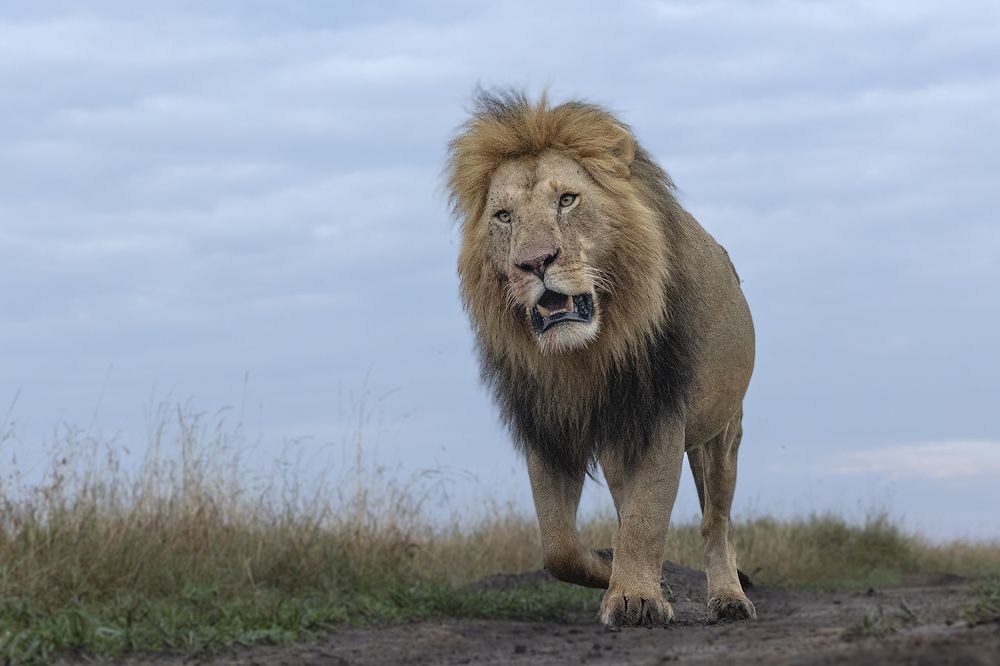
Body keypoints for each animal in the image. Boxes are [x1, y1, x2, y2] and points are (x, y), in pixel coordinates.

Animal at [446, 91, 756, 628]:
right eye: (504, 216)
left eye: (567, 200)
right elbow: (560, 547)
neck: (585, 356)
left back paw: (728, 599)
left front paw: (635, 598)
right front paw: (614, 572)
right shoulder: (548, 425)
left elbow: (646, 517)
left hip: (723, 432)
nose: (534, 262)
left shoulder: (658, 417)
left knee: (716, 521)